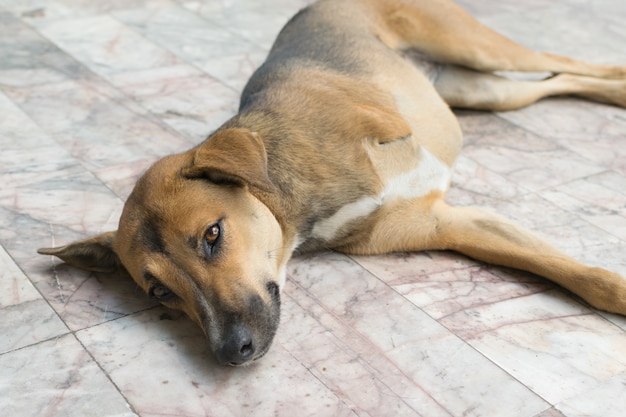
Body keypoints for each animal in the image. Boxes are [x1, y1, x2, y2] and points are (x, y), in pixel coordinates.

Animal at [37, 0, 624, 364]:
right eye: (159, 292)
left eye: (212, 235)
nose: (231, 352)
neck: (295, 205)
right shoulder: (448, 224)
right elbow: (570, 271)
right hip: (485, 91)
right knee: (557, 80)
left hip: (474, 47)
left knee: (561, 61)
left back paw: (617, 80)